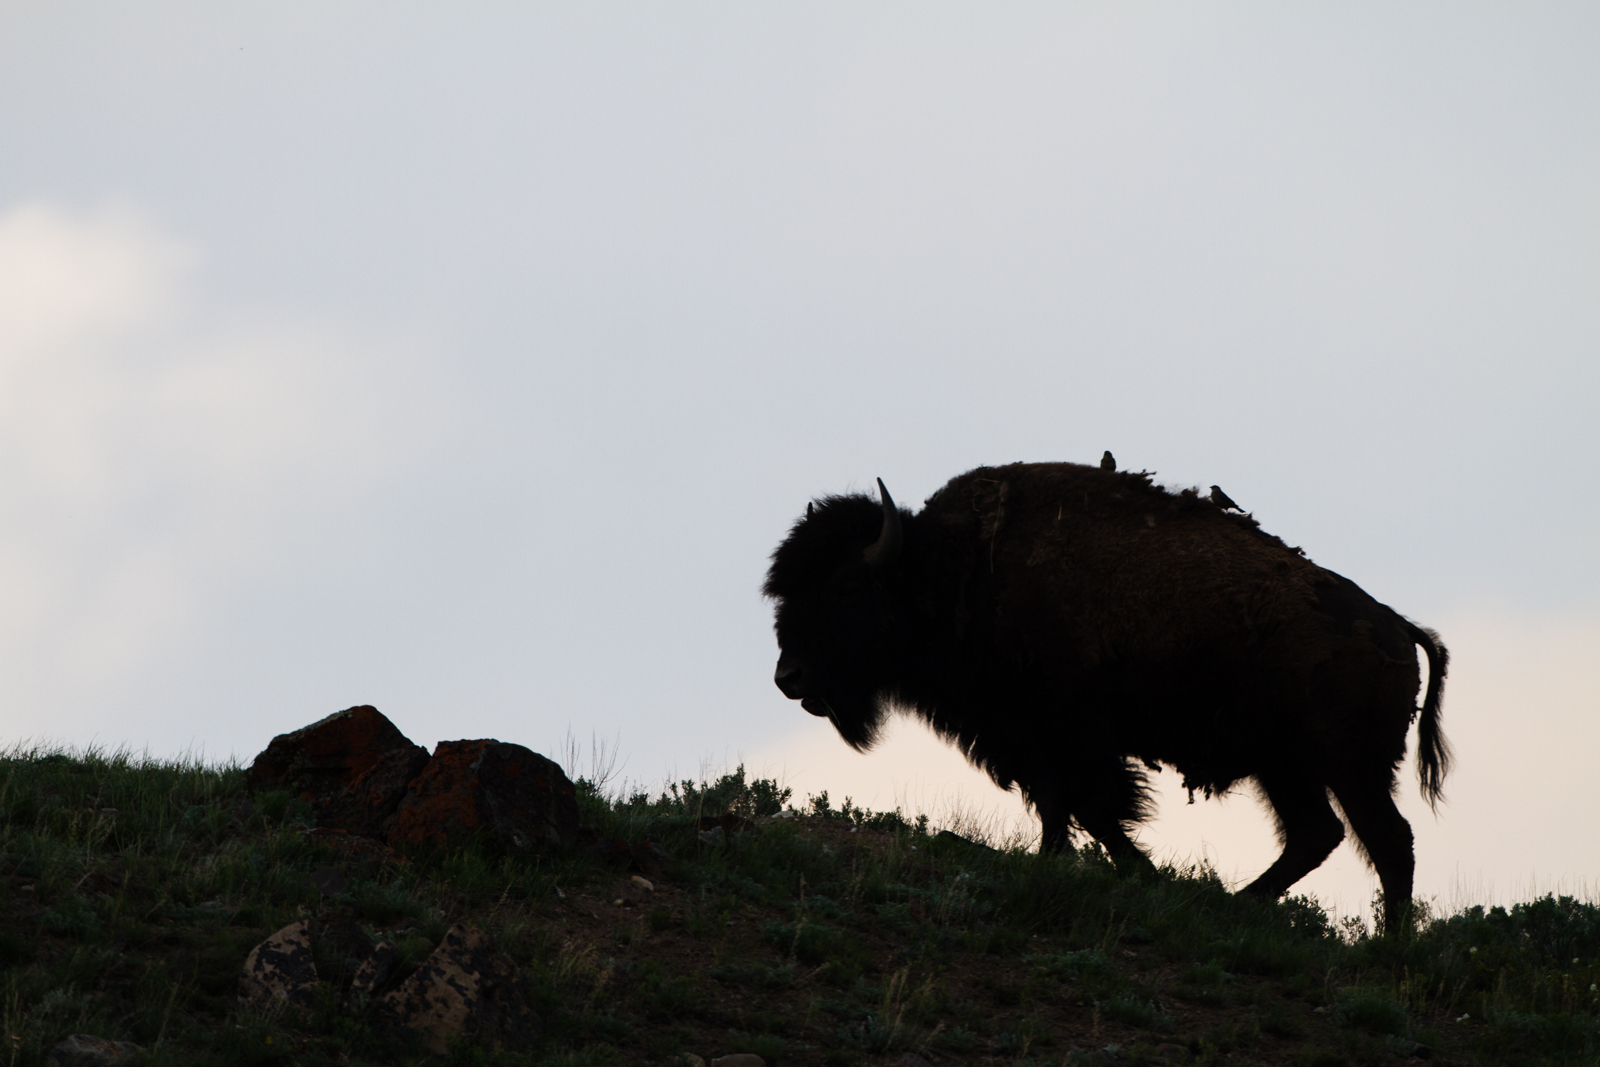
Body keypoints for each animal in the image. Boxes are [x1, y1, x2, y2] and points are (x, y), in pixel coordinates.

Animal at [765, 462, 1448, 931]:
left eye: (846, 589)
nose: (789, 677)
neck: (959, 572)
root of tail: (1396, 626)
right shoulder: (1031, 741)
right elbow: (1064, 808)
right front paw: (1099, 868)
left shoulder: (1069, 737)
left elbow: (1087, 806)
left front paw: (1120, 871)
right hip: (1285, 767)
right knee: (1317, 833)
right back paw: (1234, 904)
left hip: (1351, 766)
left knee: (1389, 840)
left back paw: (1389, 945)